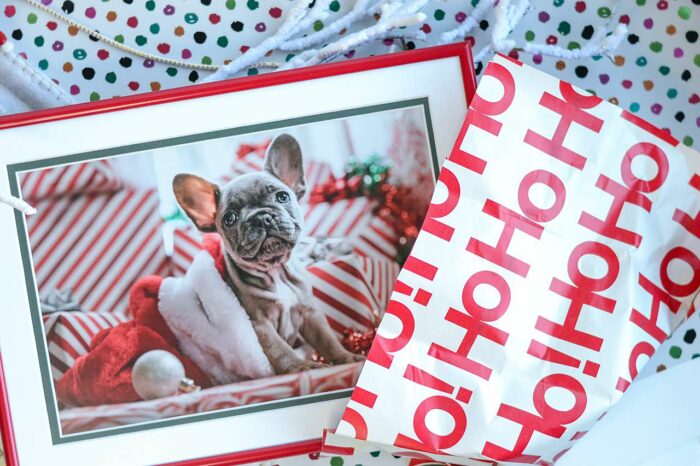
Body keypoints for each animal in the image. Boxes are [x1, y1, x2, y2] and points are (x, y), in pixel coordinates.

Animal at [174, 133, 366, 374]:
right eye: (229, 218)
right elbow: (281, 350)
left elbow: (327, 339)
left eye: (282, 197)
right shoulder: (260, 326)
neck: (275, 269)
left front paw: (346, 357)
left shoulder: (310, 313)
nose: (261, 217)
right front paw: (301, 366)